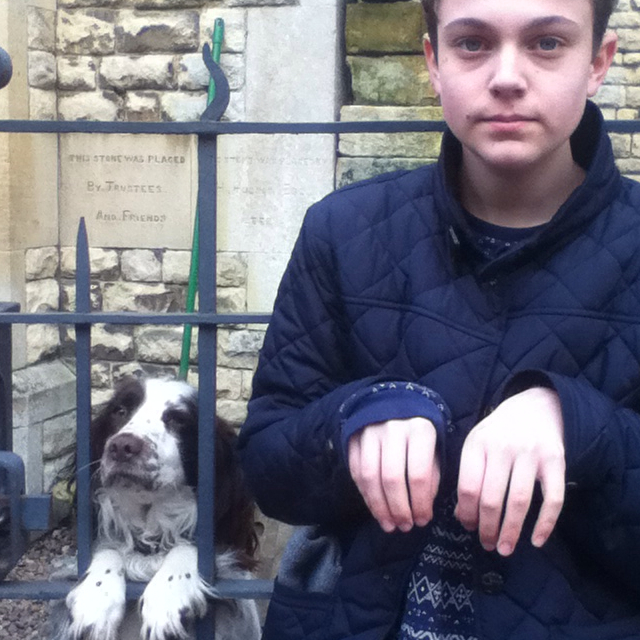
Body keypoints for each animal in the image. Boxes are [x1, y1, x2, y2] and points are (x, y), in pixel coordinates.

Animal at [48, 376, 261, 640]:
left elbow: (187, 545)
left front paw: (168, 597)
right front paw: (96, 596)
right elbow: (109, 548)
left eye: (178, 419)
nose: (122, 446)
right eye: (120, 411)